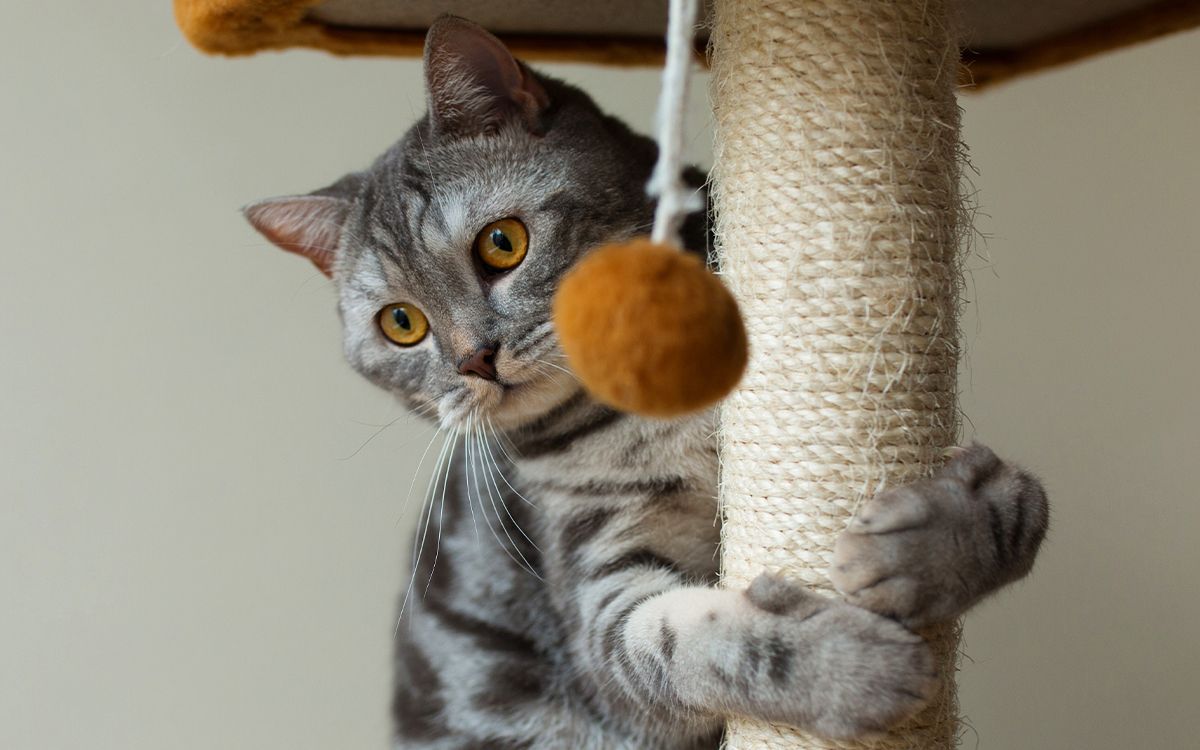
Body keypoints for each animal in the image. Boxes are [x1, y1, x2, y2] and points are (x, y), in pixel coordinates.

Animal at [246, 13, 1051, 748]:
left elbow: (1027, 503)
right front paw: (851, 666)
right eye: (402, 324)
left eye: (502, 243)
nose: (475, 359)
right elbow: (695, 645)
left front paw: (935, 538)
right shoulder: (603, 593)